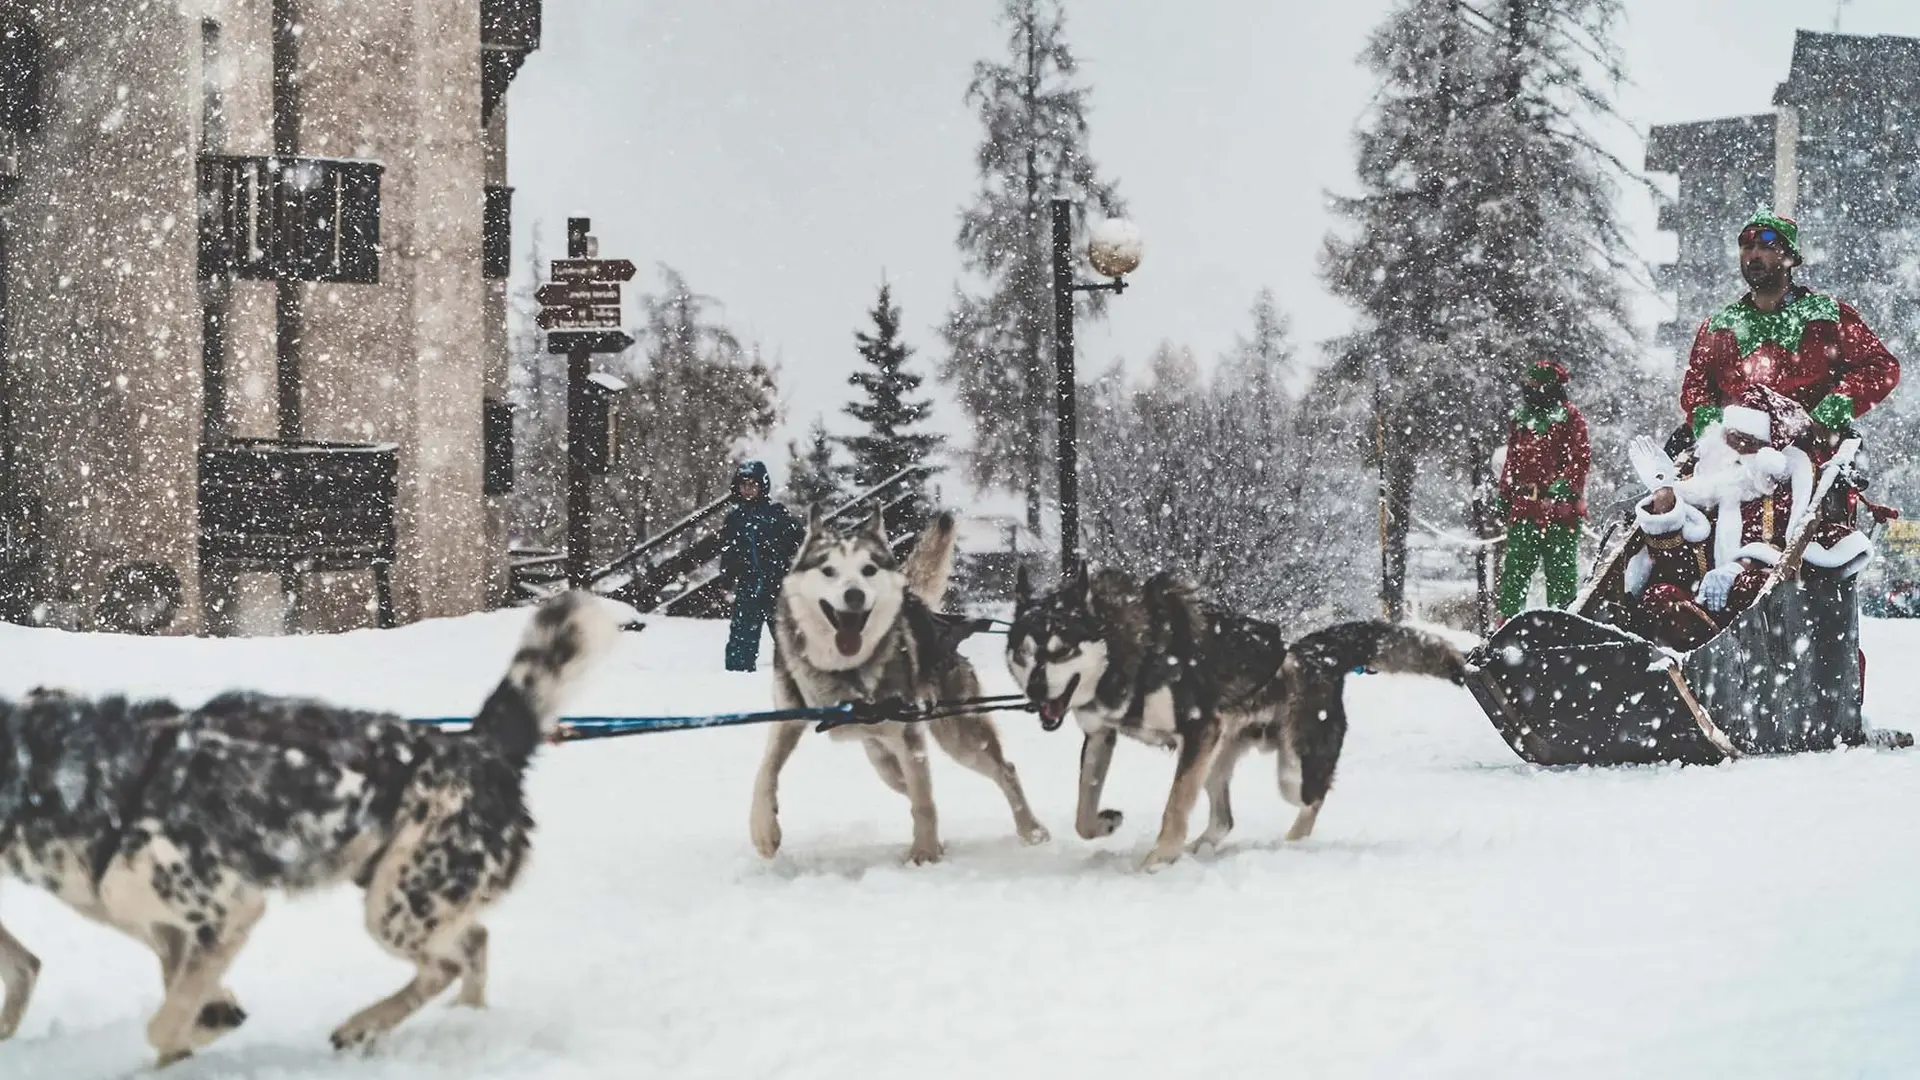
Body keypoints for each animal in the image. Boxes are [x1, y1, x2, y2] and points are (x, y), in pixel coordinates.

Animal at [0, 591, 618, 1060]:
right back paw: (464, 1020)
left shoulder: (231, 910)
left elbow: (164, 1021)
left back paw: (364, 1025)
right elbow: (180, 995)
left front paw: (197, 1031)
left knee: (444, 963)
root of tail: (482, 746)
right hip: (408, 898)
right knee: (474, 944)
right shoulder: (170, 926)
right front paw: (207, 1023)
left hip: (395, 910)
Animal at [748, 507, 1052, 864]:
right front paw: (764, 831)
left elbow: (923, 801)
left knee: (1002, 771)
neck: (845, 671)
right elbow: (765, 771)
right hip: (883, 760)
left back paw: (1031, 830)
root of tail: (919, 605)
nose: (854, 594)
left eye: (868, 569)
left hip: (960, 738)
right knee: (910, 785)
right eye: (828, 570)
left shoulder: (909, 737)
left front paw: (924, 853)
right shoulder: (787, 718)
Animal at [998, 572, 1459, 864]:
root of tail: (1315, 654)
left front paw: (1158, 858)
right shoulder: (1101, 736)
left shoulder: (1199, 727)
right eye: (1024, 652)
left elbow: (1174, 807)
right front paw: (1106, 823)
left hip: (1289, 770)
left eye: (1061, 650)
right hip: (1217, 756)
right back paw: (1201, 847)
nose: (1036, 691)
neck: (1132, 651)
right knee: (1224, 818)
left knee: (1313, 798)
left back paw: (1290, 844)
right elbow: (1083, 814)